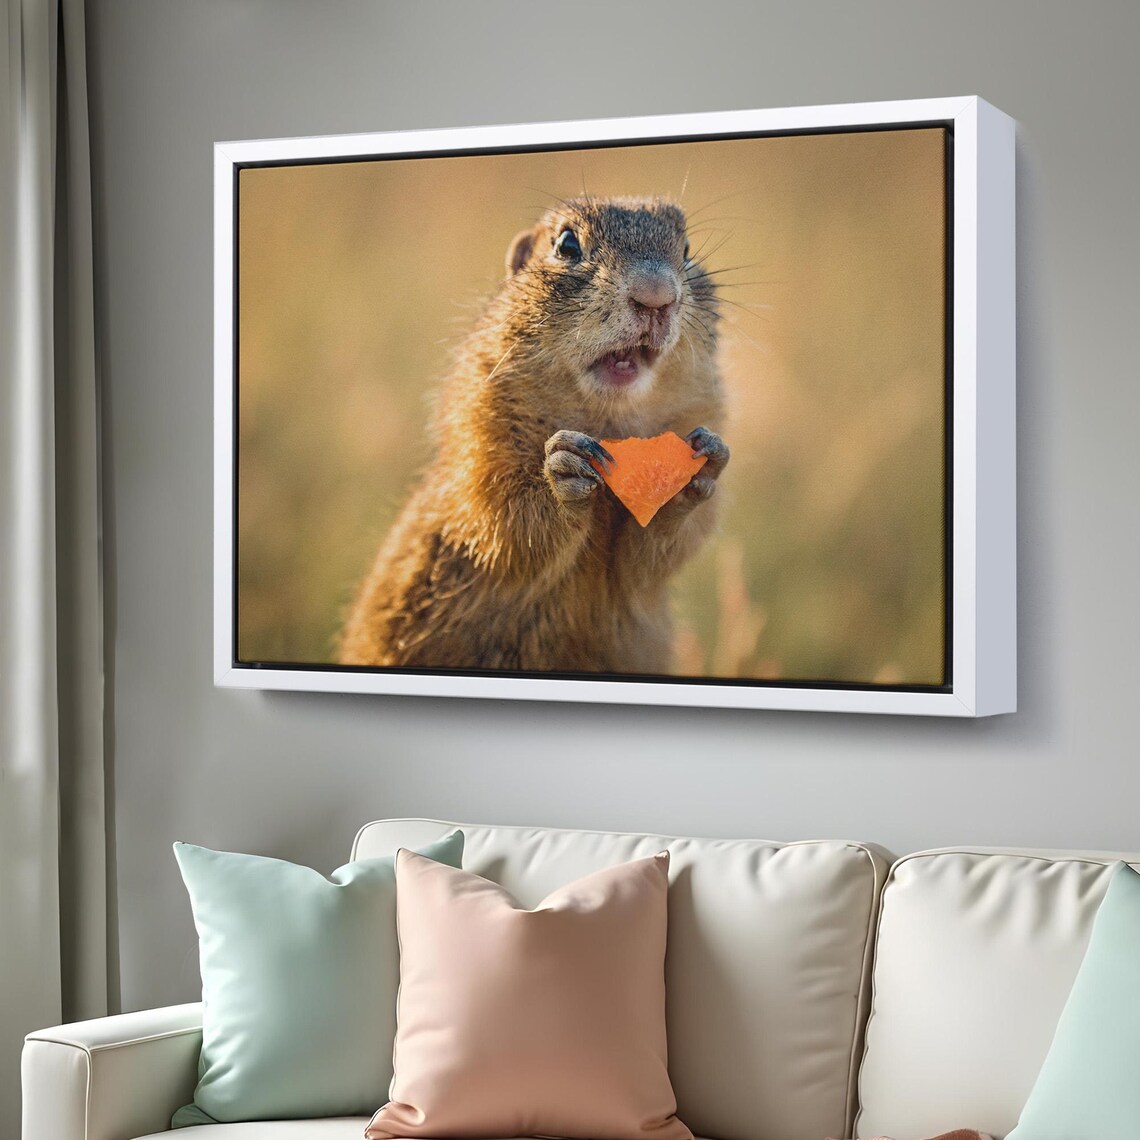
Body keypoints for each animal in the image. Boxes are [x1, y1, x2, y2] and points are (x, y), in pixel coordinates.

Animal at [338, 195, 728, 675]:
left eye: (687, 248)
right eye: (566, 245)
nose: (656, 296)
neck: (608, 420)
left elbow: (647, 562)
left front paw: (699, 468)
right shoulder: (480, 437)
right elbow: (502, 521)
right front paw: (564, 470)